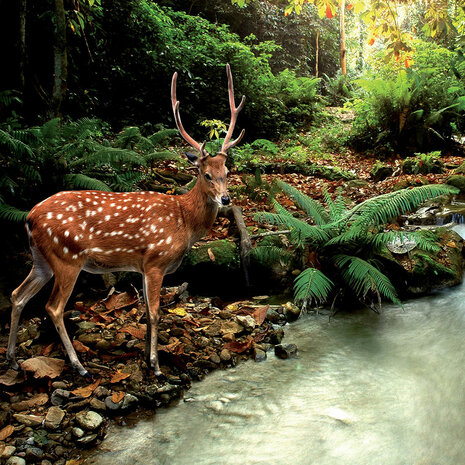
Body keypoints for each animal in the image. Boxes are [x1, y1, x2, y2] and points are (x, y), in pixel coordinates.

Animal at [6, 63, 246, 378]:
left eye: (227, 172)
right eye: (206, 174)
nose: (226, 199)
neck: (184, 221)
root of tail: (29, 217)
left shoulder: (143, 266)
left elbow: (146, 311)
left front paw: (146, 357)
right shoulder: (156, 260)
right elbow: (155, 313)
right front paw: (156, 366)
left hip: (41, 259)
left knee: (17, 294)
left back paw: (11, 358)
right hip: (67, 257)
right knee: (53, 307)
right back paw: (79, 366)